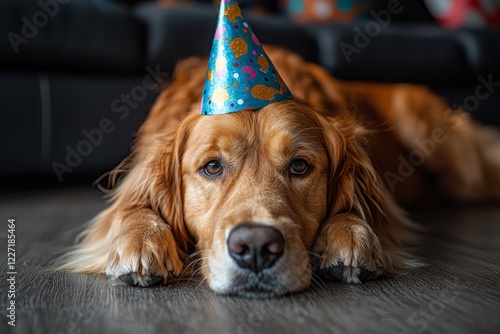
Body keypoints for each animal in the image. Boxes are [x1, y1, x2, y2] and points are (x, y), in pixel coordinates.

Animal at [58, 47, 500, 298]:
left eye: (300, 165)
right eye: (212, 166)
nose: (256, 248)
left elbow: (358, 210)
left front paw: (350, 233)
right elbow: (132, 208)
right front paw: (140, 239)